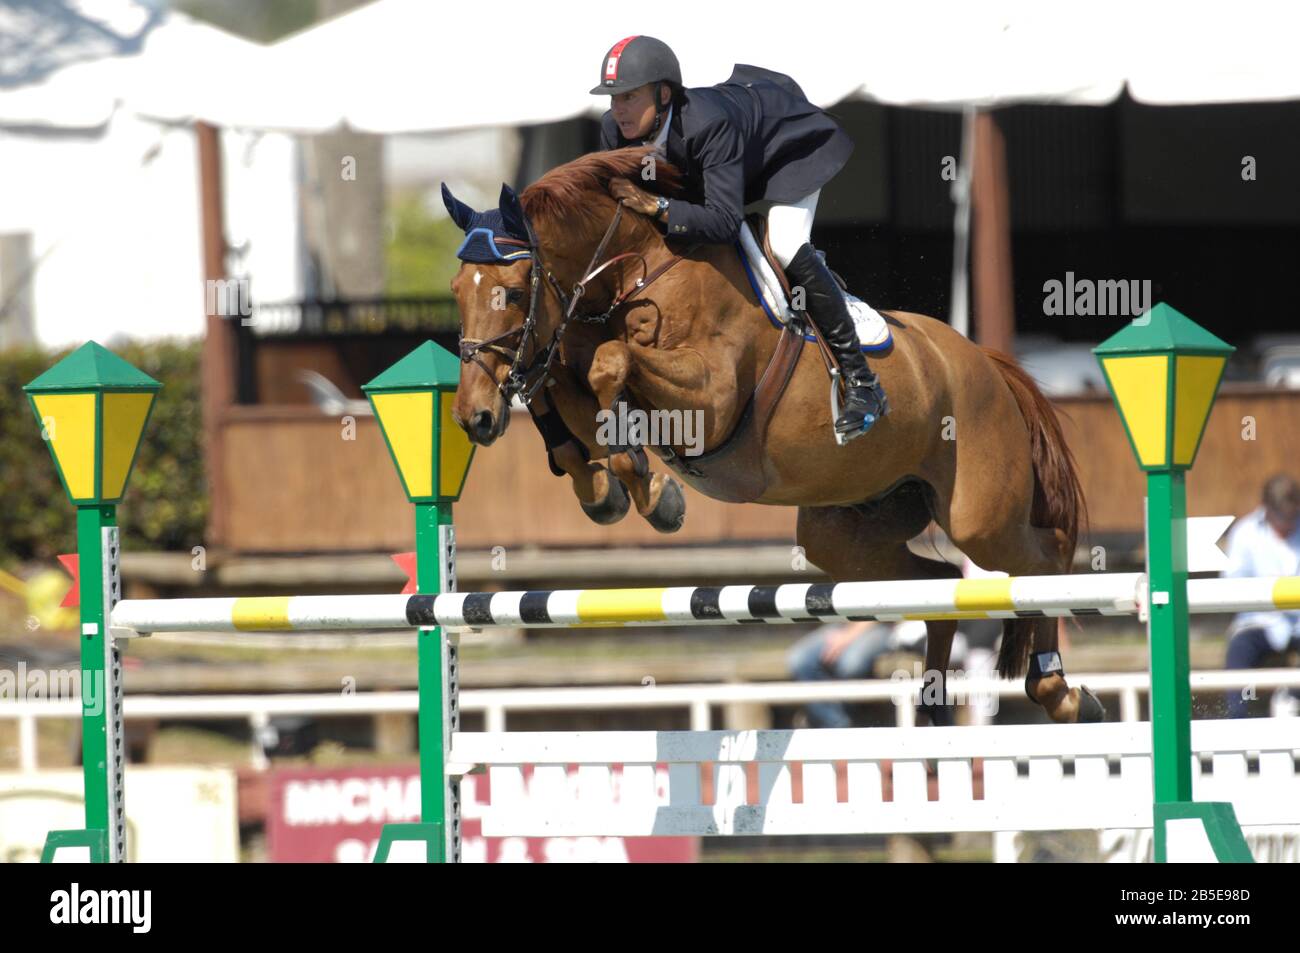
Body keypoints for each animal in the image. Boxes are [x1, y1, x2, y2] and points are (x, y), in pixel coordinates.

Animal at [444, 146, 1097, 722]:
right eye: (456, 292)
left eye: (514, 289)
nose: (474, 418)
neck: (636, 274)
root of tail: (985, 361)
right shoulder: (572, 369)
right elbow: (561, 390)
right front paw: (607, 491)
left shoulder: (710, 402)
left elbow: (611, 363)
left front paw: (651, 492)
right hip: (846, 532)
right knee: (937, 582)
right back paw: (937, 701)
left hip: (980, 517)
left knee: (1042, 558)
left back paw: (1059, 690)